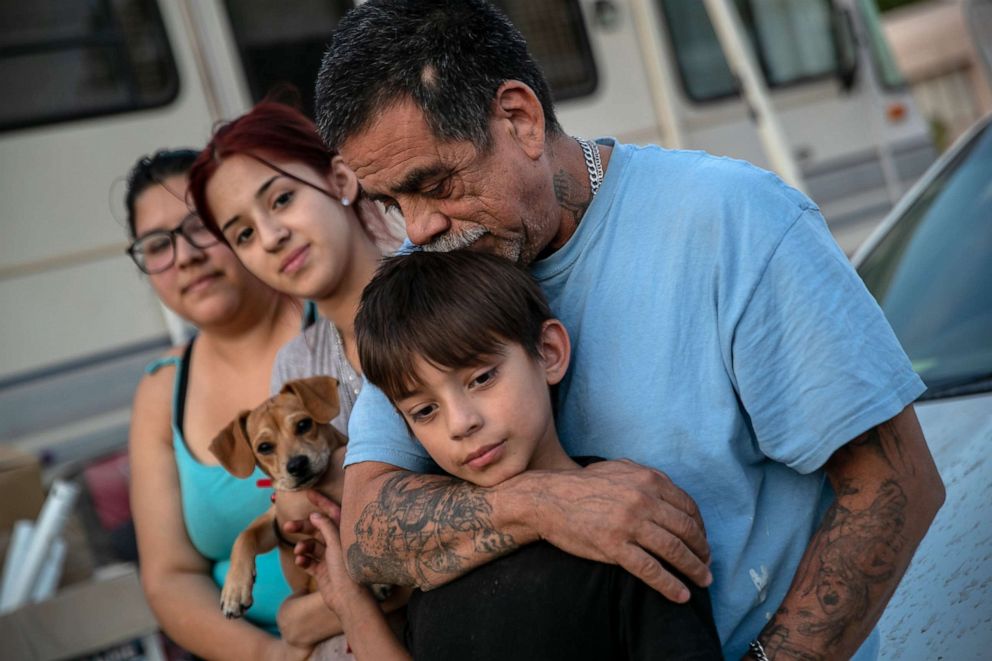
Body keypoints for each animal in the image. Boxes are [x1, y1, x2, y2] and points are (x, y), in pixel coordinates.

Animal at [209, 376, 384, 620]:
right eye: (264, 447)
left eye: (303, 425)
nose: (297, 465)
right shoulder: (277, 525)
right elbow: (244, 536)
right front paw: (234, 590)